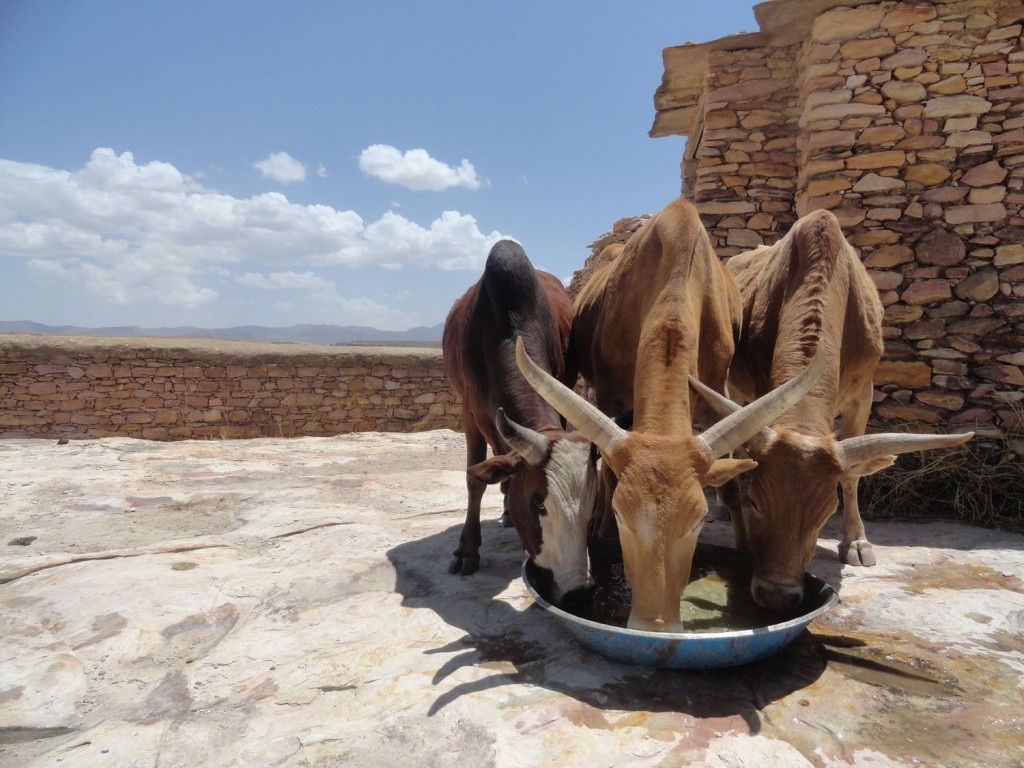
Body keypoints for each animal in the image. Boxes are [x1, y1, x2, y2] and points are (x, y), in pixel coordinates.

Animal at [442, 237, 598, 606]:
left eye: (595, 504)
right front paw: (467, 550)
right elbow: (474, 481)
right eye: (537, 502)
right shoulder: (470, 413)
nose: (577, 594)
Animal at [516, 198, 827, 630]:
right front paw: (604, 531)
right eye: (623, 516)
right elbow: (608, 475)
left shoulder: (714, 395)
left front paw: (746, 546)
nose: (655, 626)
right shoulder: (610, 398)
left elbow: (730, 487)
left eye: (698, 521)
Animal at [692, 208, 970, 614]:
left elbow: (852, 476)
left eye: (825, 513)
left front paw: (856, 541)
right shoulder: (761, 390)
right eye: (756, 501)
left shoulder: (862, 394)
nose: (777, 594)